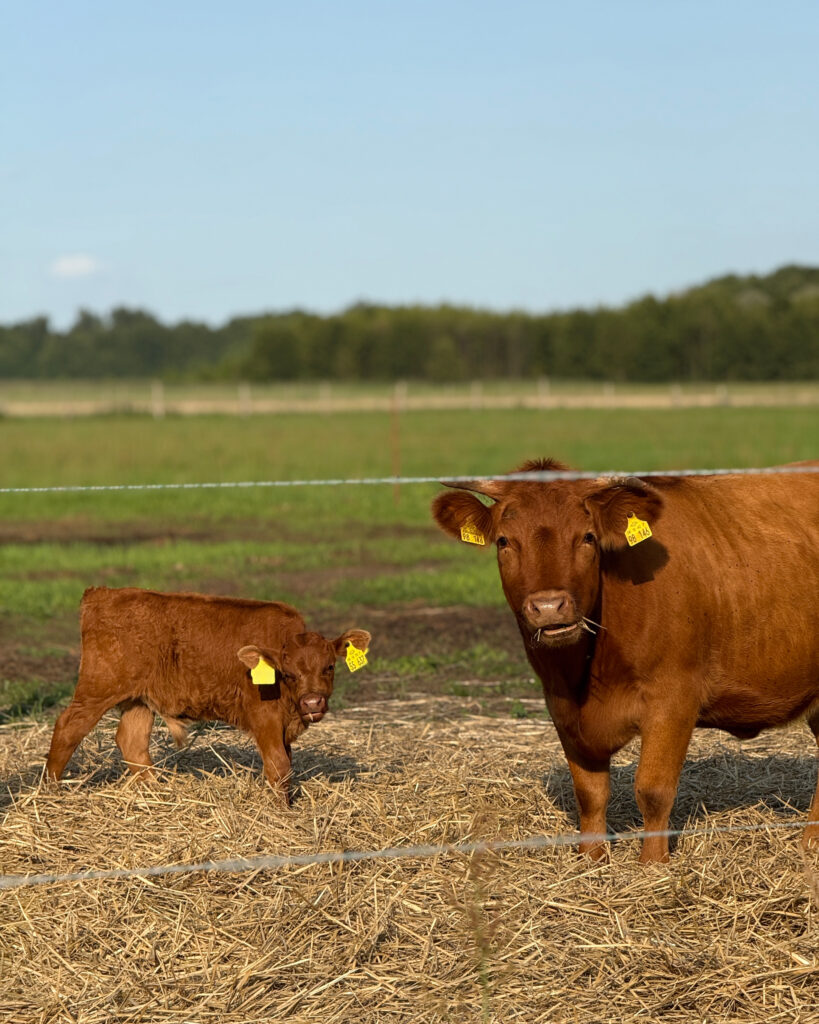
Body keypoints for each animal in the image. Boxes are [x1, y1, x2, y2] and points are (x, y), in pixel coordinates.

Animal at [45, 587, 371, 805]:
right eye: (288, 674)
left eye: (329, 667)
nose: (312, 702)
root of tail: (102, 593)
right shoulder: (264, 718)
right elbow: (279, 765)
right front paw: (281, 811)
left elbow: (286, 764)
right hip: (97, 690)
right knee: (68, 728)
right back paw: (51, 790)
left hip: (138, 700)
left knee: (132, 742)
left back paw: (157, 792)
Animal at [432, 459, 819, 862]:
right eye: (504, 541)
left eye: (588, 537)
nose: (549, 606)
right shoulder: (561, 707)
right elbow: (590, 792)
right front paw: (591, 858)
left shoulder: (673, 699)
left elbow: (653, 789)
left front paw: (653, 865)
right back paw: (809, 843)